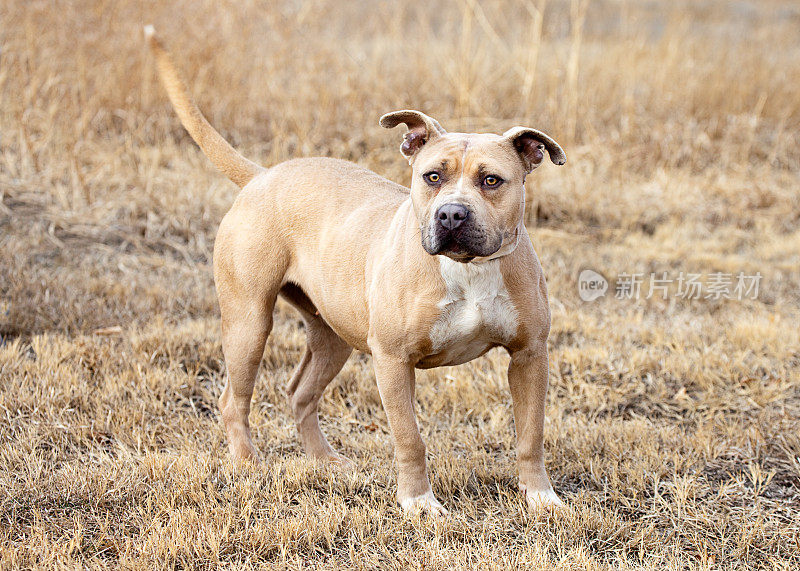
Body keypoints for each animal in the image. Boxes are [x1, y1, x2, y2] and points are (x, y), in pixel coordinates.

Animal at [145, 25, 568, 512]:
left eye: (492, 180)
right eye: (432, 176)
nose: (451, 215)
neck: (468, 270)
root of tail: (263, 175)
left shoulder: (530, 356)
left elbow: (531, 434)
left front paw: (540, 496)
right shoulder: (393, 361)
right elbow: (410, 438)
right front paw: (419, 503)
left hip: (332, 336)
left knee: (300, 394)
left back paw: (325, 460)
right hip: (248, 323)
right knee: (235, 399)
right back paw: (249, 464)